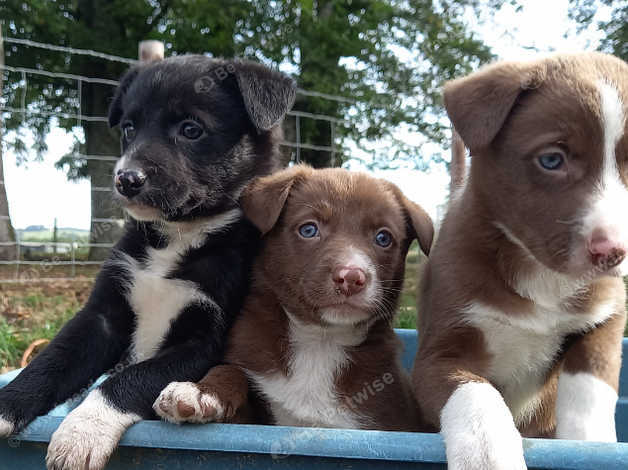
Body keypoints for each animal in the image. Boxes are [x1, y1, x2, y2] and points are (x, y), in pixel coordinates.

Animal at [0, 56, 296, 470]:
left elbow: (128, 380)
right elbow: (50, 361)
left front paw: (81, 431)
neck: (177, 236)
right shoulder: (103, 316)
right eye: (129, 128)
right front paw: (6, 407)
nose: (126, 178)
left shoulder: (202, 343)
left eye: (191, 129)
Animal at [155, 165, 434, 430]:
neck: (320, 342)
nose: (352, 277)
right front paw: (199, 391)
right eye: (309, 229)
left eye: (383, 238)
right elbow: (229, 370)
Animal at [412, 52, 628, 470]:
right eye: (552, 159)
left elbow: (590, 388)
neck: (542, 275)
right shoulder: (439, 351)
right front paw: (488, 455)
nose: (613, 251)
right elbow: (475, 394)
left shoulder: (608, 312)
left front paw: (590, 445)